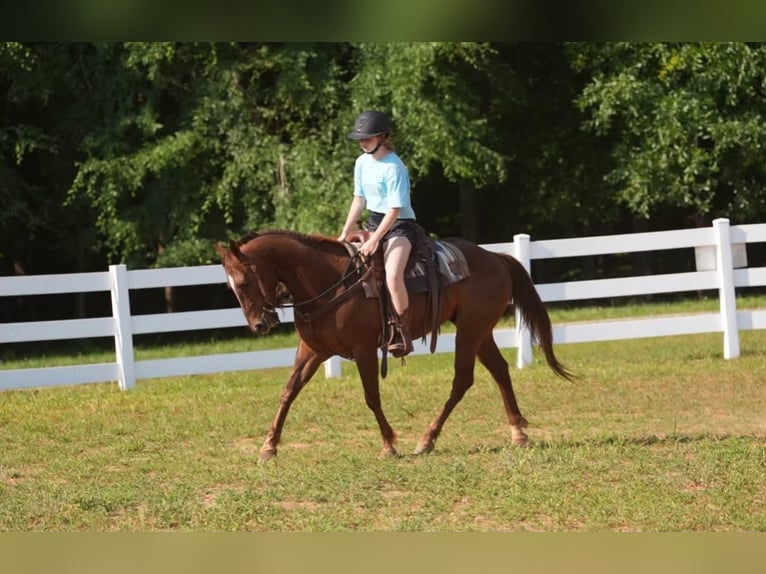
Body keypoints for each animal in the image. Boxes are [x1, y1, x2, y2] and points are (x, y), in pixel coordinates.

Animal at [215, 229, 572, 460]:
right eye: (229, 286)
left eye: (244, 282)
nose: (259, 325)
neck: (330, 283)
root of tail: (495, 257)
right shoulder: (314, 351)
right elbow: (288, 392)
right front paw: (269, 446)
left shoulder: (363, 351)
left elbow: (371, 396)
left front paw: (388, 443)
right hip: (480, 332)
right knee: (499, 371)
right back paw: (518, 433)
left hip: (470, 332)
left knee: (462, 380)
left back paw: (427, 439)